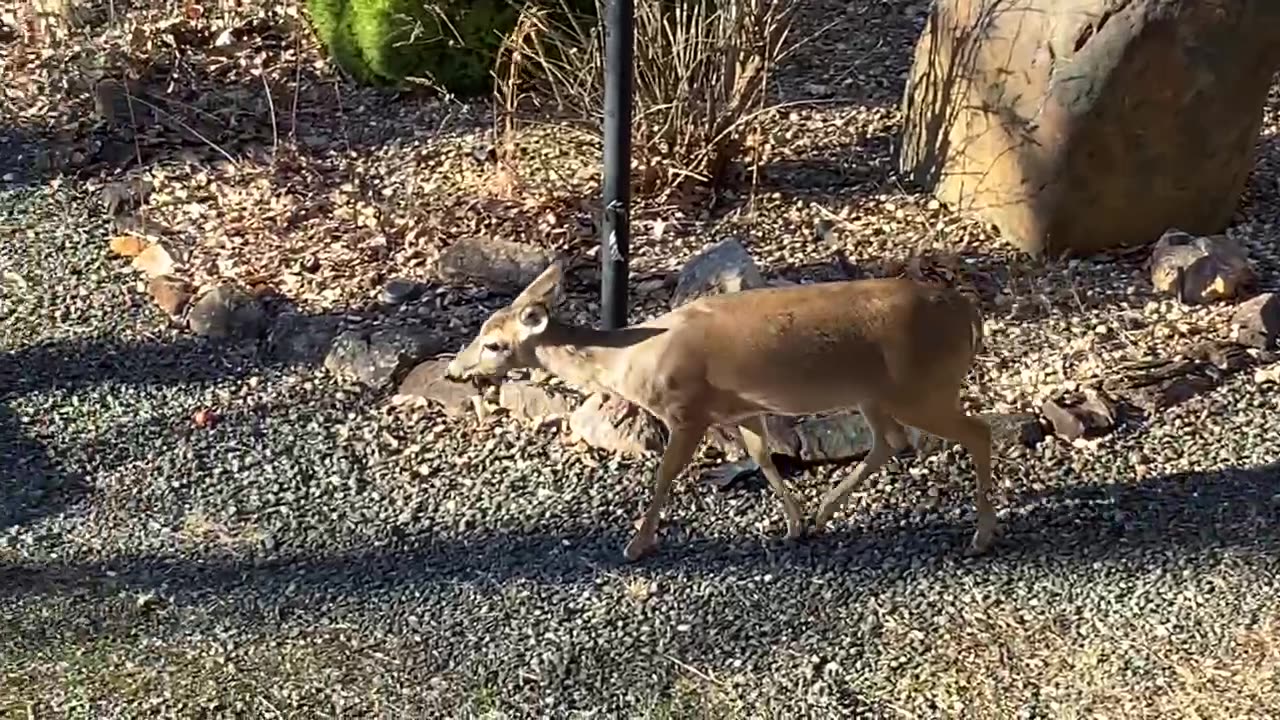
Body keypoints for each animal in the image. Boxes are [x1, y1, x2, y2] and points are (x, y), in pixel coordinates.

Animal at [445, 261, 995, 563]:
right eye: (479, 331)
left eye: (493, 344)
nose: (453, 370)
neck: (629, 359)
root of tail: (970, 315)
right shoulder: (740, 408)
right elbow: (765, 458)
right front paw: (793, 525)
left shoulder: (688, 410)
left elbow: (665, 474)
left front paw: (636, 545)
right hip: (877, 393)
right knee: (891, 443)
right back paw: (823, 515)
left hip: (918, 387)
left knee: (978, 431)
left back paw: (981, 537)